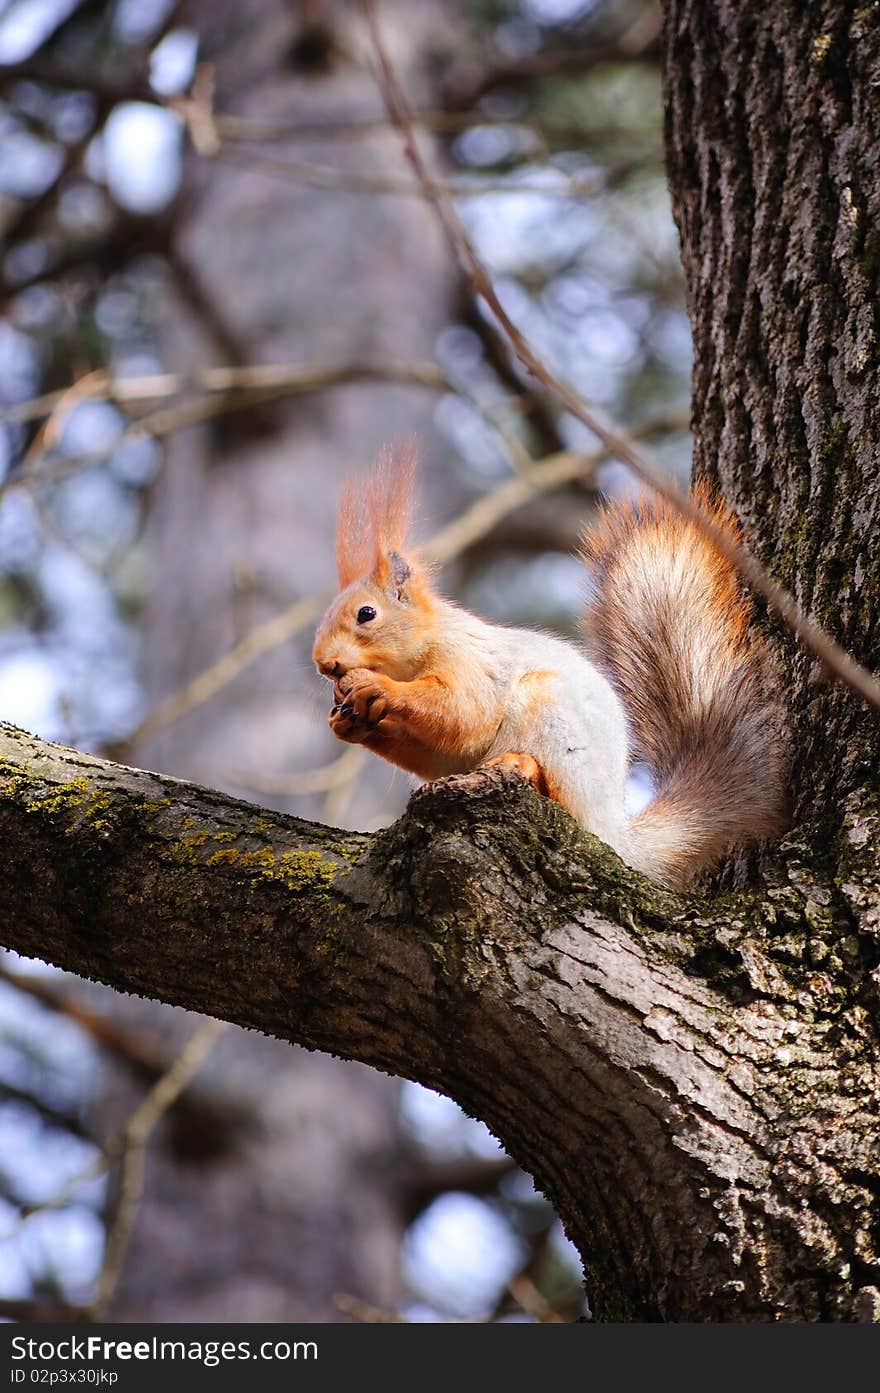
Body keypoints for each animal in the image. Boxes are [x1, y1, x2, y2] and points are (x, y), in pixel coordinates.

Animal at [310, 445, 790, 885]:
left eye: (366, 614)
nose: (323, 664)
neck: (421, 648)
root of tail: (613, 831)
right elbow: (442, 748)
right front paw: (349, 722)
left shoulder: (468, 660)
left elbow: (465, 715)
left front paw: (375, 687)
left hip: (550, 714)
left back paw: (526, 768)